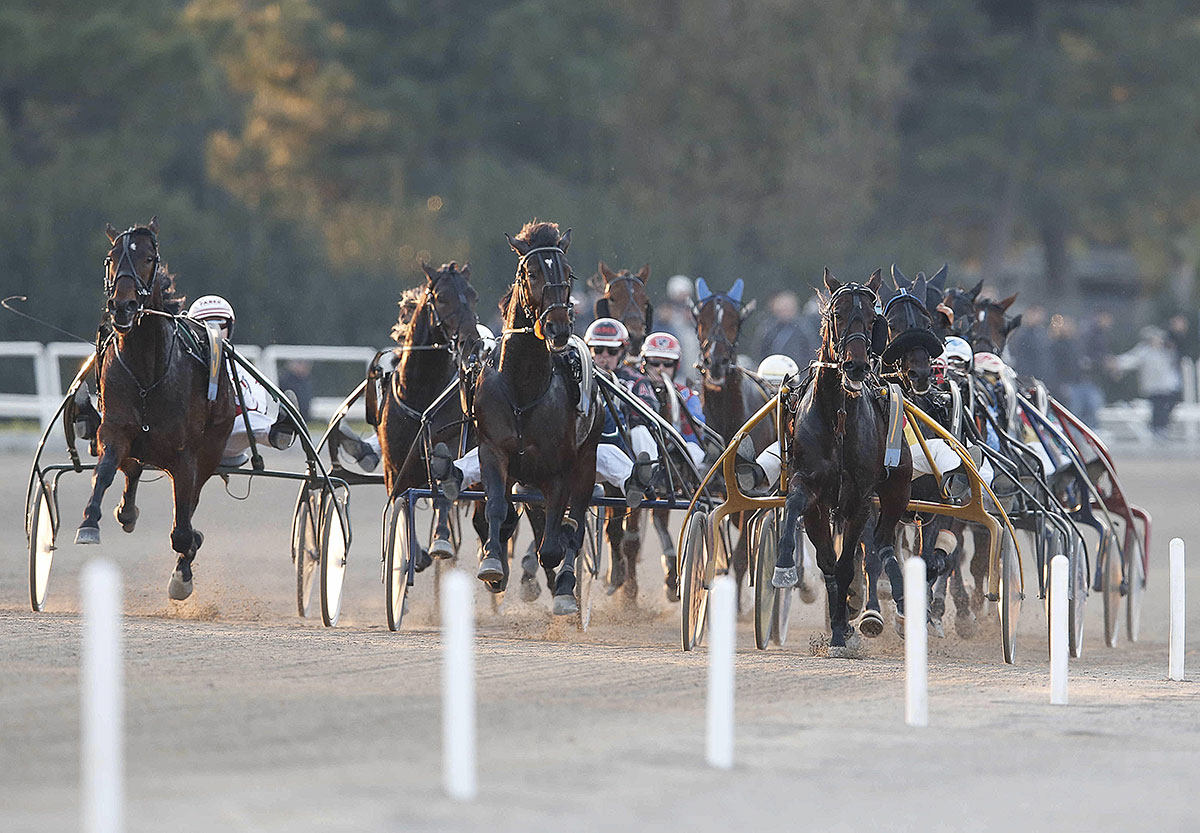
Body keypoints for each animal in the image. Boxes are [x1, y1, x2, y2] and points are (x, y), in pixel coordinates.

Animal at [75, 218, 236, 602]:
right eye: (111, 257)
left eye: (149, 258)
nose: (123, 306)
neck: (148, 368)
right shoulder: (115, 430)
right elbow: (104, 472)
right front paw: (90, 522)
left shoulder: (186, 454)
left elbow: (182, 527)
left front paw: (184, 569)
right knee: (133, 470)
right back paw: (127, 511)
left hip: (211, 448)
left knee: (190, 500)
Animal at [468, 222, 600, 614]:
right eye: (531, 273)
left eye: (568, 273)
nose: (558, 328)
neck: (523, 388)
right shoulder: (493, 450)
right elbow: (498, 509)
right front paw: (493, 564)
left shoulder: (559, 469)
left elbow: (557, 539)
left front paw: (563, 585)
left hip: (585, 462)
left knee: (574, 522)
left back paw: (565, 584)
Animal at [772, 271, 912, 657]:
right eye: (837, 314)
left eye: (873, 318)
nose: (856, 366)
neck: (837, 416)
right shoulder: (810, 489)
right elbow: (824, 559)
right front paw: (785, 568)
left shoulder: (860, 498)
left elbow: (850, 562)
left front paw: (842, 628)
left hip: (897, 489)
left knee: (882, 543)